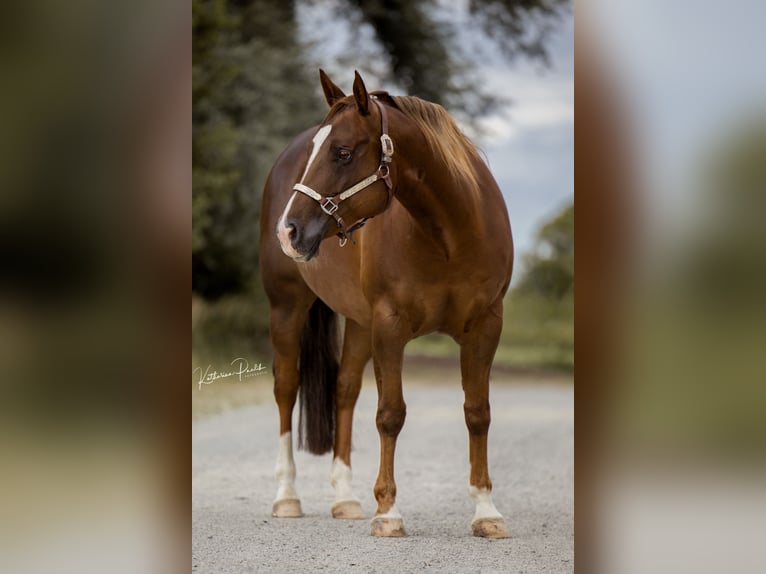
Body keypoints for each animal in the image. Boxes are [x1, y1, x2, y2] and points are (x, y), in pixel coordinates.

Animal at [259, 70, 513, 538]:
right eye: (316, 152)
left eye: (341, 152)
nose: (289, 230)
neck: (449, 236)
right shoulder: (390, 326)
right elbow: (390, 414)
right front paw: (389, 512)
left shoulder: (486, 326)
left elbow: (477, 413)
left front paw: (486, 512)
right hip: (286, 305)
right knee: (286, 387)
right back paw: (287, 497)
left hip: (360, 322)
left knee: (344, 389)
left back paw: (345, 498)